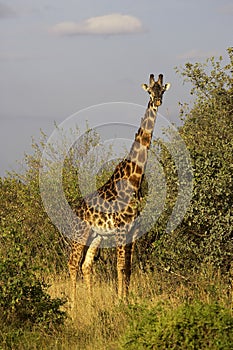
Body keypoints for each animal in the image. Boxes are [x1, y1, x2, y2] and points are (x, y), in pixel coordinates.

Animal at [67, 74, 169, 304]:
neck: (135, 179)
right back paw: (73, 304)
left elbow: (129, 267)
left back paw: (90, 302)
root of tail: (75, 208)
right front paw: (120, 301)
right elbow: (120, 266)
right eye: (150, 91)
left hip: (96, 236)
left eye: (162, 91)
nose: (158, 102)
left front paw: (127, 299)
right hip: (80, 232)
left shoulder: (134, 230)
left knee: (86, 264)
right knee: (72, 263)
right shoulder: (122, 229)